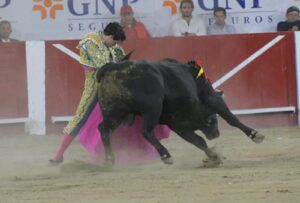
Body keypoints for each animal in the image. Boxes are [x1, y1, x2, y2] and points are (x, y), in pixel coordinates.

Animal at [96, 58, 264, 167]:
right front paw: (256, 135)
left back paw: (109, 159)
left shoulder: (179, 126)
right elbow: (231, 119)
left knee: (103, 129)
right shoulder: (213, 99)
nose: (215, 134)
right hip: (152, 108)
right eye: (213, 119)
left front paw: (213, 156)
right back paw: (166, 155)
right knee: (146, 131)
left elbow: (199, 141)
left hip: (114, 112)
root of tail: (113, 68)